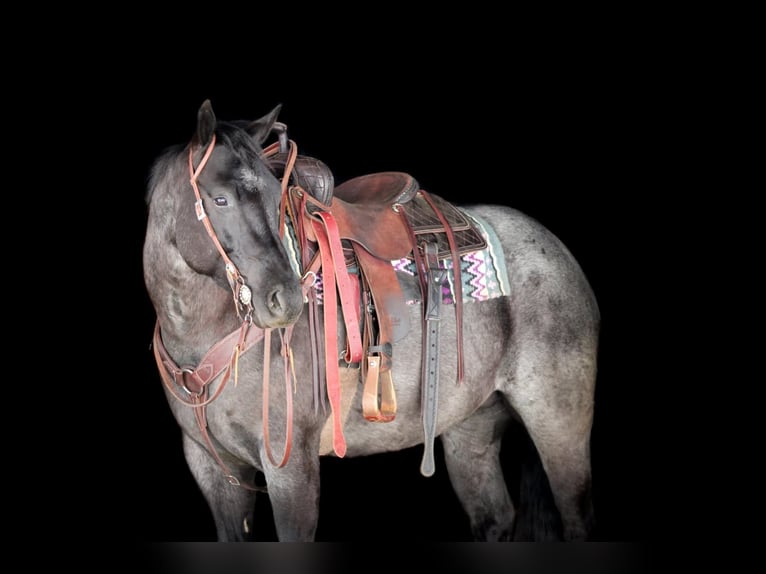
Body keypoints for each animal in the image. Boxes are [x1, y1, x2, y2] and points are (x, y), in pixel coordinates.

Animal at [142, 100, 600, 541]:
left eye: (276, 199)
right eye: (220, 199)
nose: (285, 299)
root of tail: (557, 250)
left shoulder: (291, 470)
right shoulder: (213, 470)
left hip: (559, 426)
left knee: (576, 519)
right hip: (473, 425)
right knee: (495, 517)